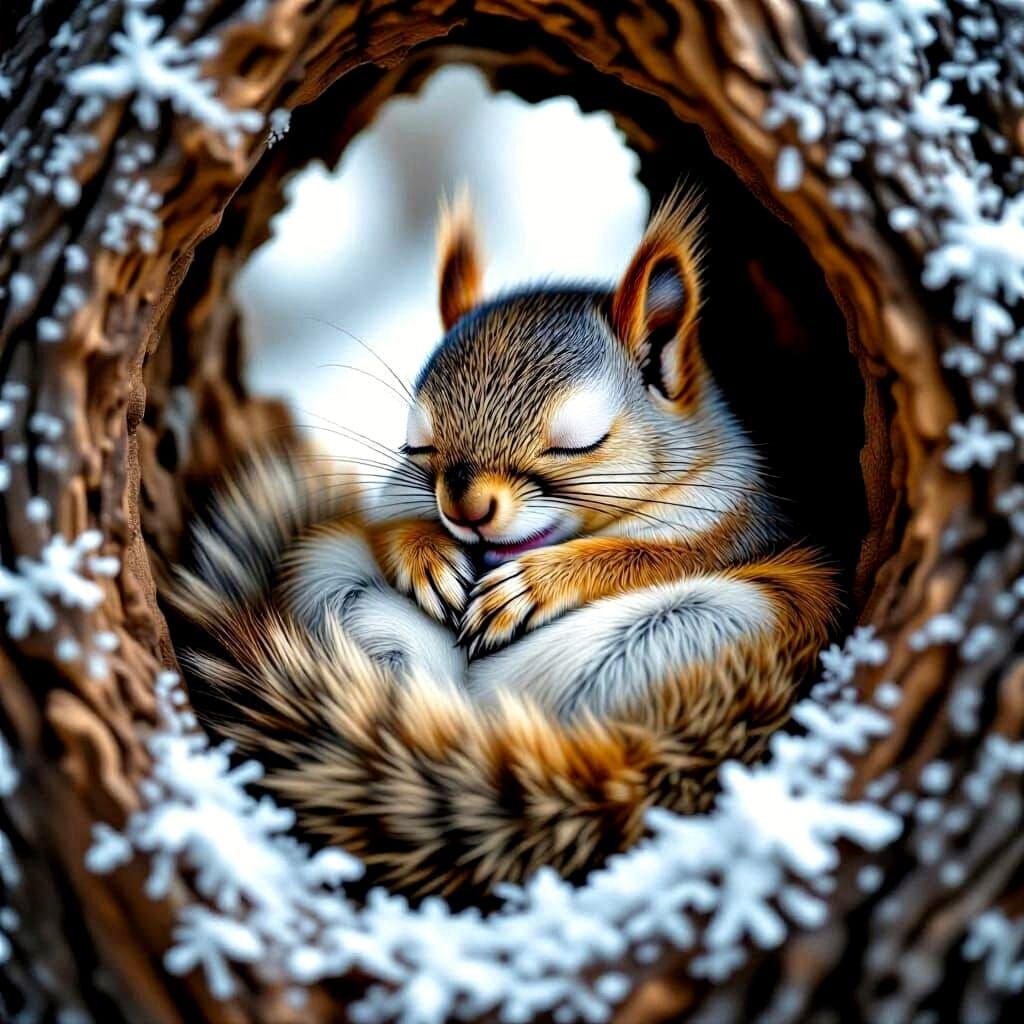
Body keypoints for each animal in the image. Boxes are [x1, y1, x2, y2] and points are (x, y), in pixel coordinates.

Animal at [172, 189, 838, 903]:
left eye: (579, 441)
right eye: (417, 445)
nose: (465, 512)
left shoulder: (732, 524)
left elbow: (647, 556)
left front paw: (531, 586)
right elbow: (389, 527)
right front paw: (427, 555)